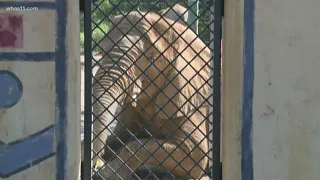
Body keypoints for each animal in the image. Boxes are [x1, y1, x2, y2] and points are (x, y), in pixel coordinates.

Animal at [90, 9, 211, 180]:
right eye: (102, 52)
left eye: (152, 59)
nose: (95, 165)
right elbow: (119, 136)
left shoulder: (191, 99)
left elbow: (195, 155)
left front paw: (106, 173)